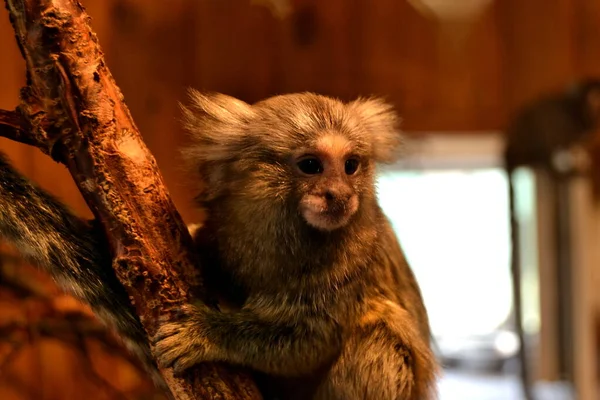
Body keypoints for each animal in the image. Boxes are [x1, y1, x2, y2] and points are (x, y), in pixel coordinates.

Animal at [0, 91, 438, 400]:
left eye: (351, 166)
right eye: (311, 165)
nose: (340, 196)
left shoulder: (351, 264)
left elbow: (305, 341)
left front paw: (206, 334)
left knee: (380, 340)